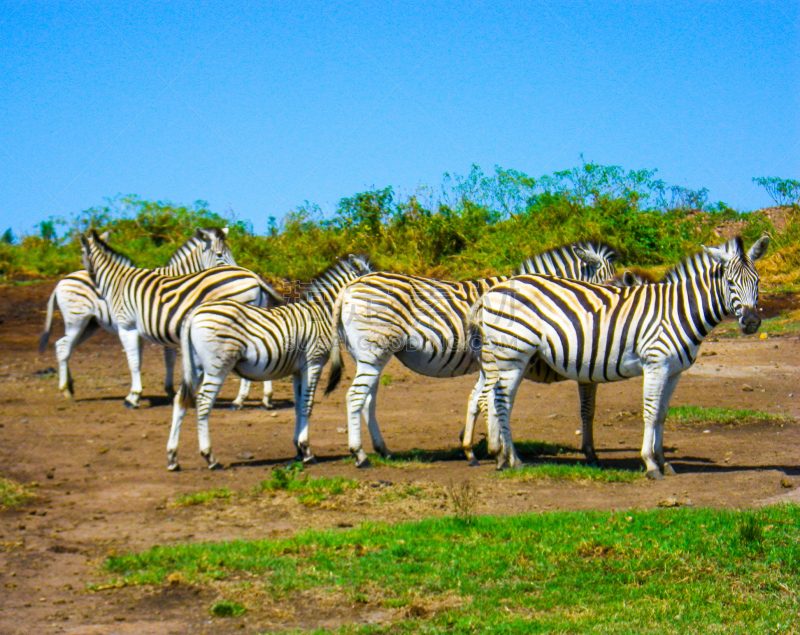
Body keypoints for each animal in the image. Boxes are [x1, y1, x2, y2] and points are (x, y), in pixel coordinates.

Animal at [167, 255, 374, 472]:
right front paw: (307, 450)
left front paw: (298, 449)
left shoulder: (298, 370)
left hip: (197, 366)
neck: (320, 314)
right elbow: (307, 404)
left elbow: (298, 405)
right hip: (216, 367)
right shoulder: (313, 363)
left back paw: (173, 458)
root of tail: (194, 312)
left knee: (180, 400)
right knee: (203, 403)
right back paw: (210, 457)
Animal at [324, 242, 620, 468]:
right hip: (375, 349)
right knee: (355, 396)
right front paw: (495, 449)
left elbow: (478, 401)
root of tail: (352, 284)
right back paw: (360, 455)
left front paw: (473, 447)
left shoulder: (488, 362)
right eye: (607, 286)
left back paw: (382, 450)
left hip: (369, 355)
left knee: (367, 400)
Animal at [468, 236, 768, 480]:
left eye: (757, 282)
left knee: (491, 398)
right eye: (730, 282)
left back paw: (500, 457)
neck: (678, 310)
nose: (752, 323)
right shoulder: (656, 364)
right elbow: (650, 412)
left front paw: (664, 461)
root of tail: (492, 290)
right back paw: (513, 460)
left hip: (501, 359)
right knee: (501, 401)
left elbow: (662, 414)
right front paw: (650, 464)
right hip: (513, 355)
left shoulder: (674, 371)